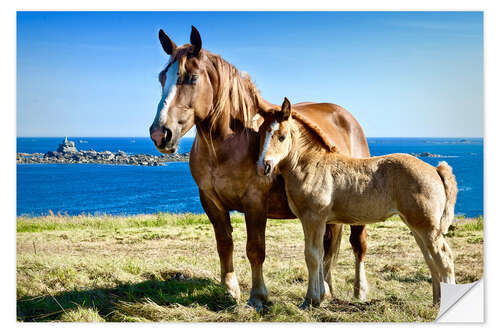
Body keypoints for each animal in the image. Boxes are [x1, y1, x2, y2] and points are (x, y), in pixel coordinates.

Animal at [148, 26, 372, 308]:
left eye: (192, 77)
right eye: (161, 77)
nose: (160, 134)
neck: (230, 142)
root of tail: (345, 117)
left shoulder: (255, 202)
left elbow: (255, 249)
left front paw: (258, 296)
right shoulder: (210, 202)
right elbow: (224, 244)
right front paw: (230, 289)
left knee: (357, 245)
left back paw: (360, 291)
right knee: (328, 248)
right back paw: (327, 290)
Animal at [258, 97, 458, 308]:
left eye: (281, 136)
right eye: (261, 133)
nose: (265, 166)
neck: (312, 164)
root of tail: (435, 169)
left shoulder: (313, 218)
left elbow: (311, 256)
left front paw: (310, 300)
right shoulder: (318, 221)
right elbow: (320, 255)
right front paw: (320, 297)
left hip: (426, 226)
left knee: (444, 257)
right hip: (415, 225)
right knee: (430, 259)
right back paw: (436, 302)